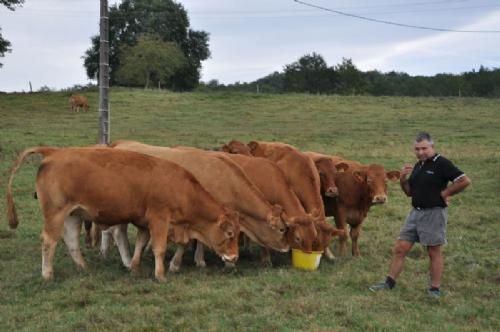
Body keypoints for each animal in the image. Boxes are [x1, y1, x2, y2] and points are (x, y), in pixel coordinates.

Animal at [5, 146, 240, 280]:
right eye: (230, 234)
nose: (235, 257)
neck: (180, 186)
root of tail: (54, 152)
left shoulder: (144, 222)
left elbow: (140, 244)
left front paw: (134, 268)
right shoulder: (159, 219)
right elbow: (159, 248)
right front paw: (160, 275)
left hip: (72, 215)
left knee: (71, 241)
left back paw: (83, 267)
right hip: (55, 214)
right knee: (49, 241)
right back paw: (47, 274)